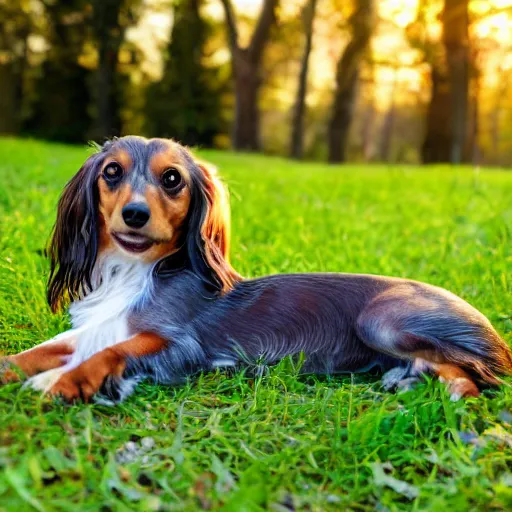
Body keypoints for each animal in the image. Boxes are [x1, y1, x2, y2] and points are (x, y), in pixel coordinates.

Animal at [2, 137, 510, 404]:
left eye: (172, 179)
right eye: (111, 171)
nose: (135, 214)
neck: (134, 273)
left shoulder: (180, 343)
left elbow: (110, 354)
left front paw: (63, 382)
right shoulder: (101, 325)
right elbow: (42, 351)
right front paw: (23, 368)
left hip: (381, 319)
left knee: (476, 377)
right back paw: (406, 378)